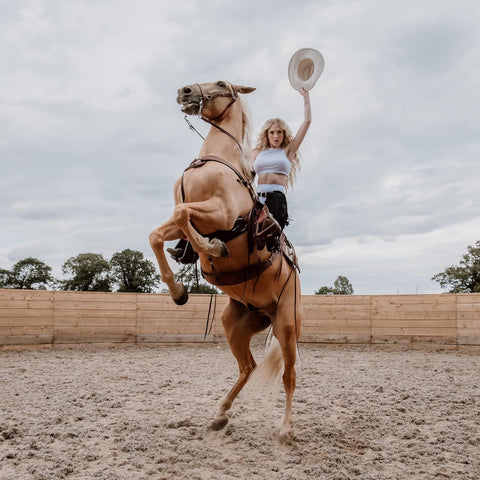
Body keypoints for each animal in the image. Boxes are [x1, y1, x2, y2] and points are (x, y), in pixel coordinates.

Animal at [149, 80, 304, 440]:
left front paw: (215, 247)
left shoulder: (219, 212)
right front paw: (178, 291)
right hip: (234, 325)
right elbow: (158, 234)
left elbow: (184, 214)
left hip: (287, 326)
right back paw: (220, 414)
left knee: (288, 376)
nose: (185, 91)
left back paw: (286, 428)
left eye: (221, 83)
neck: (215, 160)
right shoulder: (181, 218)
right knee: (248, 367)